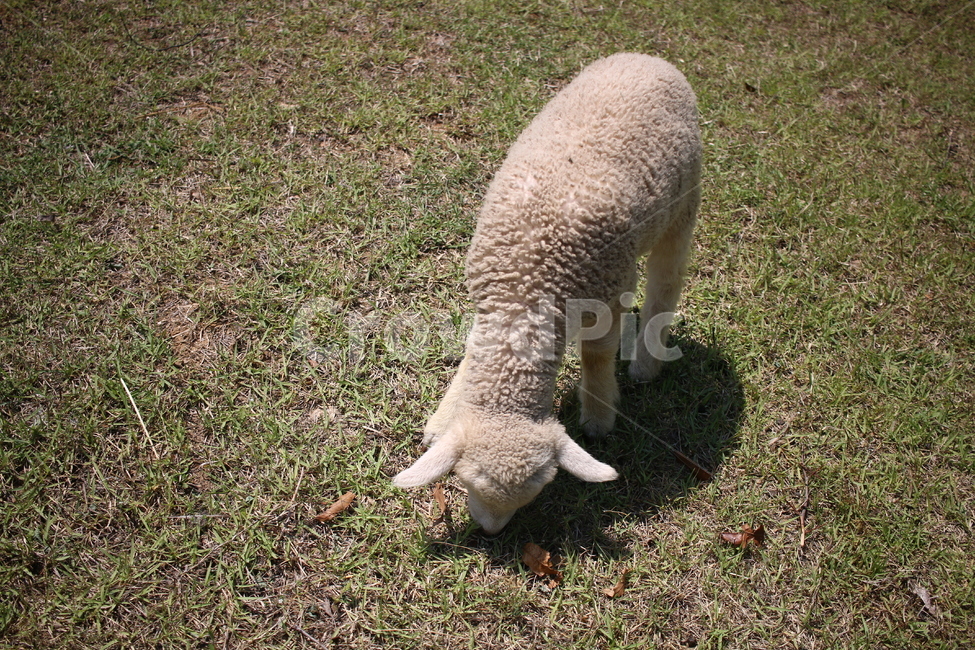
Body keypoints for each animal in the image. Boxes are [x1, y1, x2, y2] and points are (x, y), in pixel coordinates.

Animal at [393, 53, 702, 534]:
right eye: (466, 482)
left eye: (535, 496)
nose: (491, 533)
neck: (527, 289)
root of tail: (648, 58)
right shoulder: (488, 296)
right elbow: (471, 350)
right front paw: (444, 417)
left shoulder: (606, 295)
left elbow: (596, 356)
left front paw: (598, 417)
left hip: (683, 204)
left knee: (666, 282)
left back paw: (646, 362)